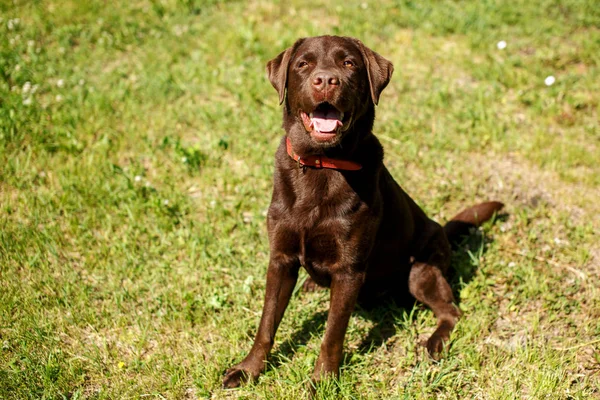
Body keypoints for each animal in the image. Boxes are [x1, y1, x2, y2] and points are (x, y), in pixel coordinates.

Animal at [223, 35, 504, 388]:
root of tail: (440, 228)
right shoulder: (281, 260)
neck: (322, 164)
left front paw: (323, 381)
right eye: (303, 64)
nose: (326, 80)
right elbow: (266, 323)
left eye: (348, 63)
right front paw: (248, 369)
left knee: (451, 311)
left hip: (421, 272)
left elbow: (332, 334)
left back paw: (434, 342)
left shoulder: (349, 271)